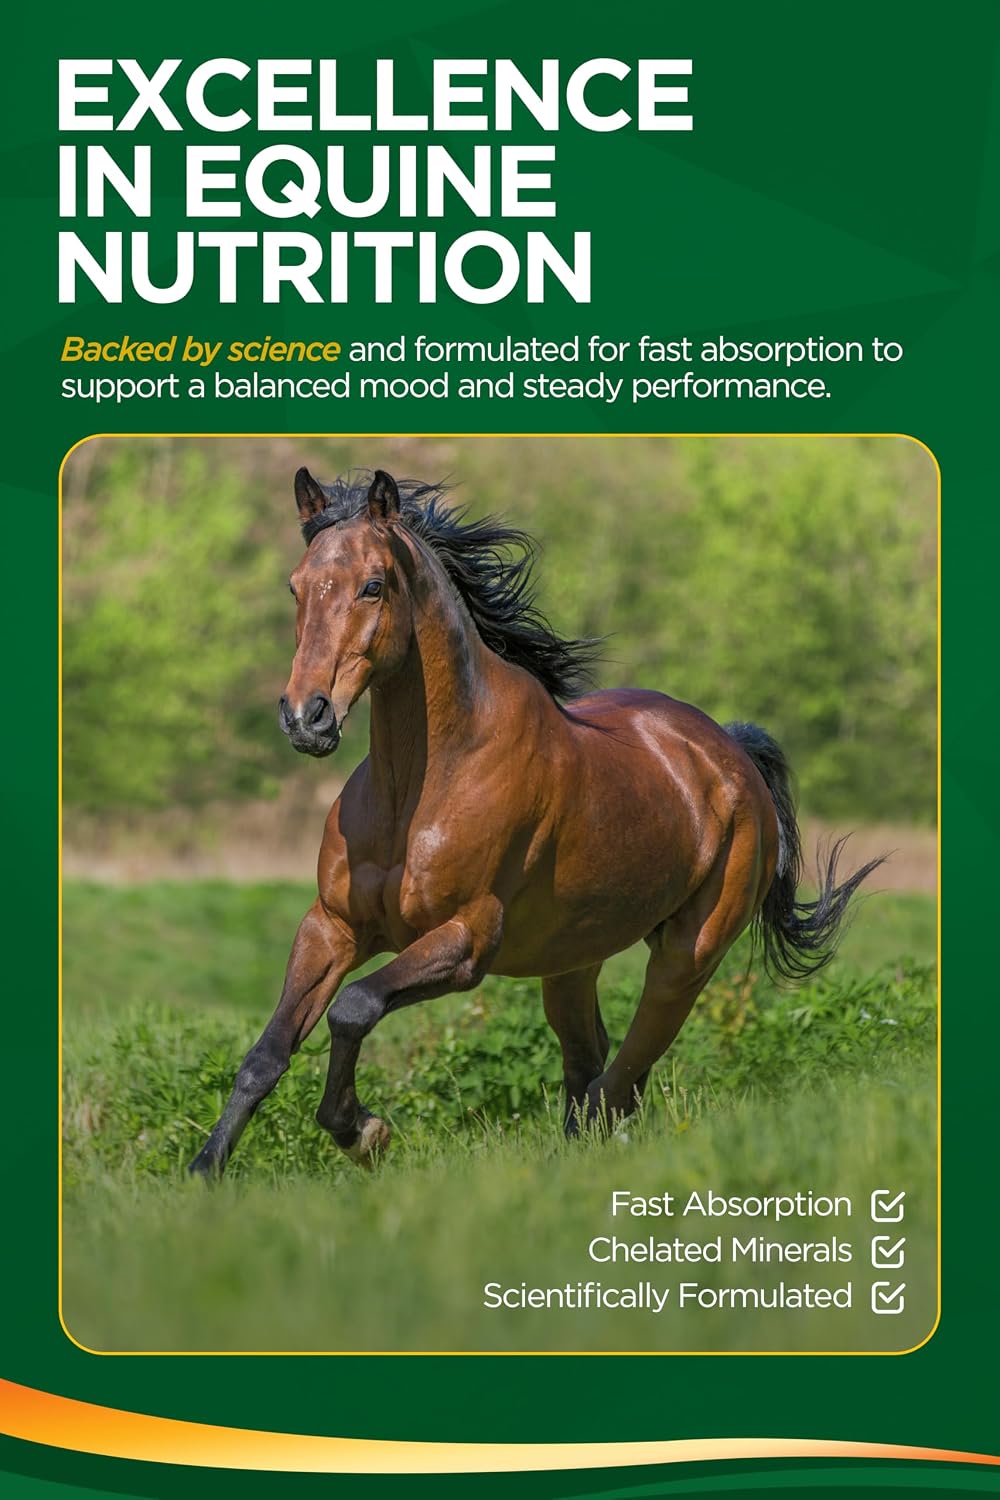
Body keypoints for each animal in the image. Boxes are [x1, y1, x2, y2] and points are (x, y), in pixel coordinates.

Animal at [189, 467, 884, 1176]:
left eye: (373, 585)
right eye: (296, 585)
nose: (307, 716)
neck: (420, 789)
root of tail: (732, 752)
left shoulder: (467, 940)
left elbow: (354, 1008)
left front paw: (364, 1131)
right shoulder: (332, 927)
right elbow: (267, 1054)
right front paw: (205, 1170)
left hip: (687, 956)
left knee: (623, 1075)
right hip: (572, 960)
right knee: (590, 1061)